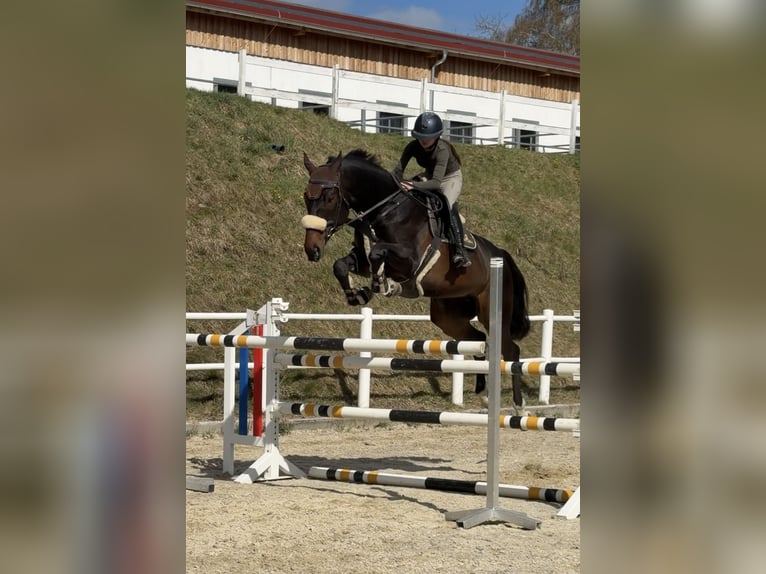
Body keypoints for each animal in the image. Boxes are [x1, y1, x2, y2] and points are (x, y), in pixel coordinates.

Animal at [300, 149, 531, 412]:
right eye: (306, 196)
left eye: (329, 197)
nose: (312, 249)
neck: (385, 209)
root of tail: (500, 253)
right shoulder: (361, 261)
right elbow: (341, 265)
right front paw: (358, 294)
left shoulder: (409, 260)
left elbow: (377, 252)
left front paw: (384, 284)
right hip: (447, 314)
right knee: (478, 340)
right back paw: (483, 394)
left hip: (491, 311)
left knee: (510, 349)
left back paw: (519, 405)